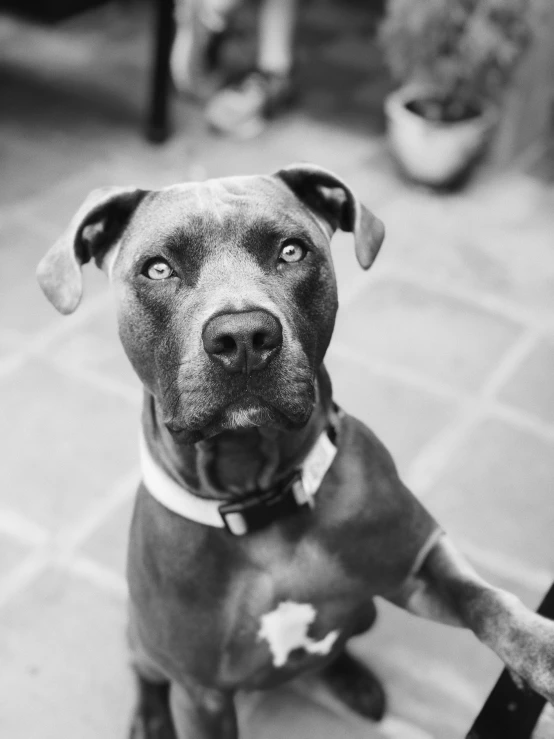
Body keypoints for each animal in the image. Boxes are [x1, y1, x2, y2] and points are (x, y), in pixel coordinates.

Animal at [35, 165, 552, 736]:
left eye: (290, 251)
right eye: (158, 268)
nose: (242, 336)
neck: (261, 496)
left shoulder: (418, 563)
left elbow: (483, 597)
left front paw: (540, 648)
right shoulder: (201, 695)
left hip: (366, 612)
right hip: (142, 639)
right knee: (143, 671)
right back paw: (149, 717)